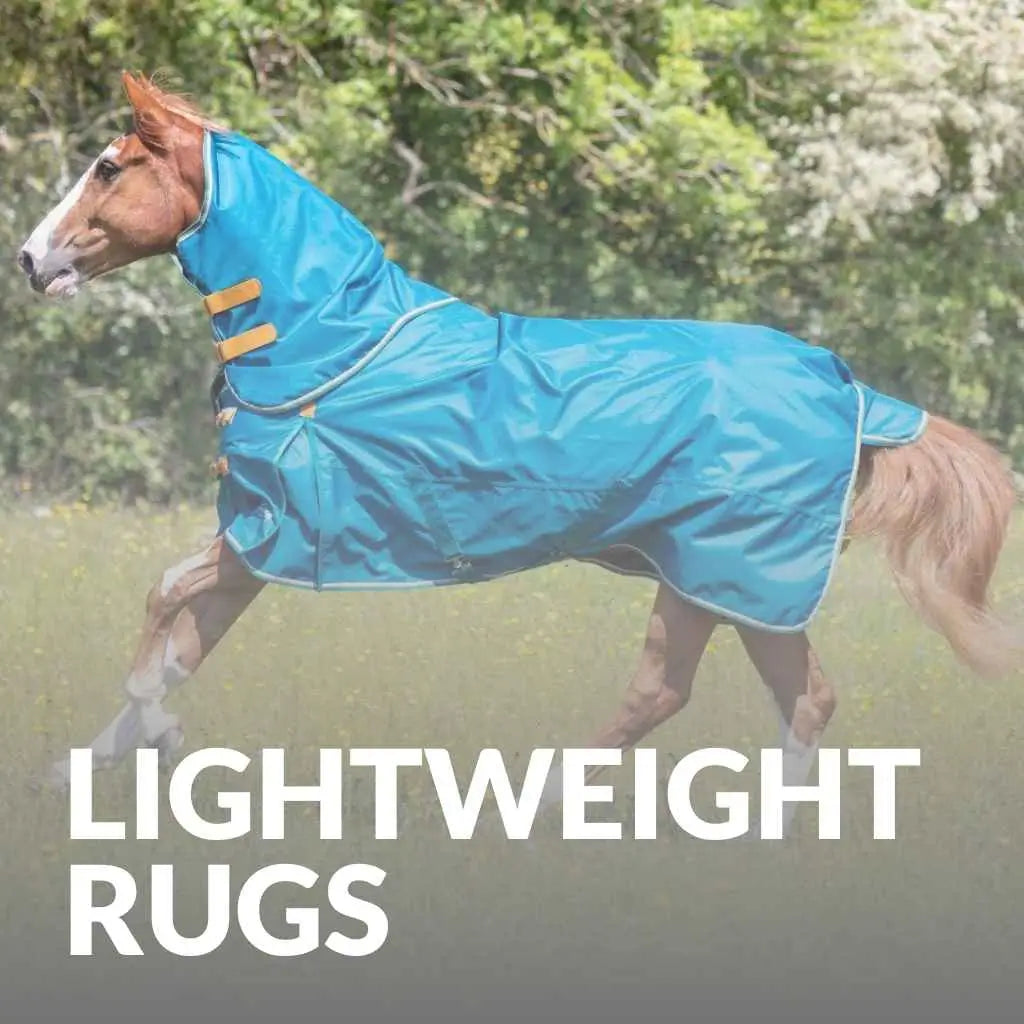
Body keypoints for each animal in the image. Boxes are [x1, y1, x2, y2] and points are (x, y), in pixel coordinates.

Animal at [17, 73, 1020, 834]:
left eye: (108, 167)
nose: (30, 259)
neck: (326, 345)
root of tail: (853, 393)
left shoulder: (272, 531)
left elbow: (161, 609)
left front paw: (161, 736)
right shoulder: (259, 544)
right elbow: (179, 642)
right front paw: (80, 772)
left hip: (725, 574)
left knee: (674, 695)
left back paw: (527, 808)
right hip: (726, 585)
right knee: (784, 699)